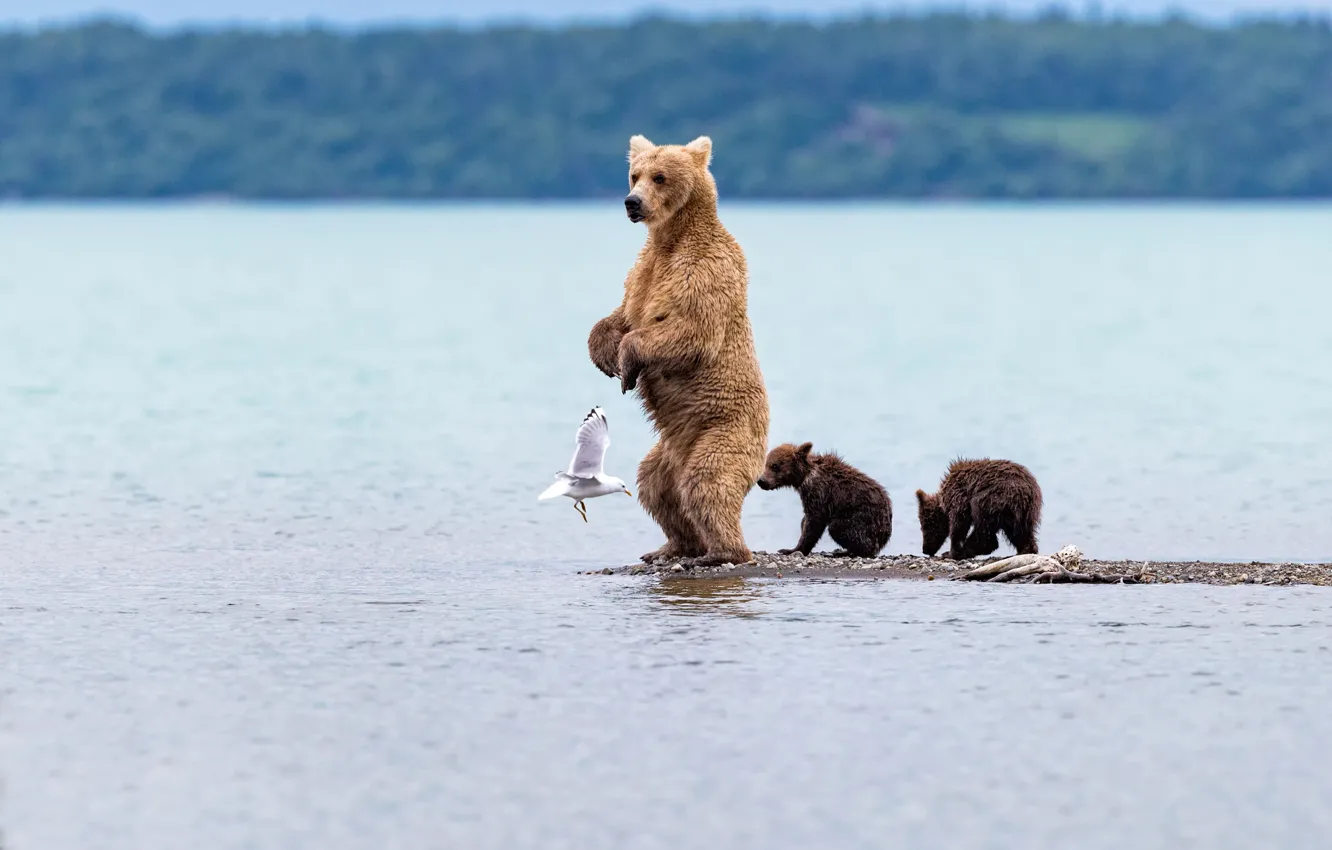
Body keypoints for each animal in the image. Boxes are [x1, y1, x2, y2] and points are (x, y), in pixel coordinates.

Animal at [587, 135, 769, 568]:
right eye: (634, 174)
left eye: (660, 176)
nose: (632, 202)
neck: (673, 238)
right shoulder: (643, 272)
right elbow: (621, 314)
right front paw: (603, 355)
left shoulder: (703, 271)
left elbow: (689, 332)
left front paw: (626, 364)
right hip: (668, 451)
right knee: (657, 488)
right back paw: (671, 546)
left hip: (725, 430)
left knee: (709, 481)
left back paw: (722, 551)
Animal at [756, 442, 893, 558]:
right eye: (766, 464)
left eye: (775, 466)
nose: (761, 481)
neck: (804, 476)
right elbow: (805, 521)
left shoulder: (819, 493)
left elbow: (814, 522)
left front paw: (792, 549)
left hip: (861, 518)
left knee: (839, 529)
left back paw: (846, 552)